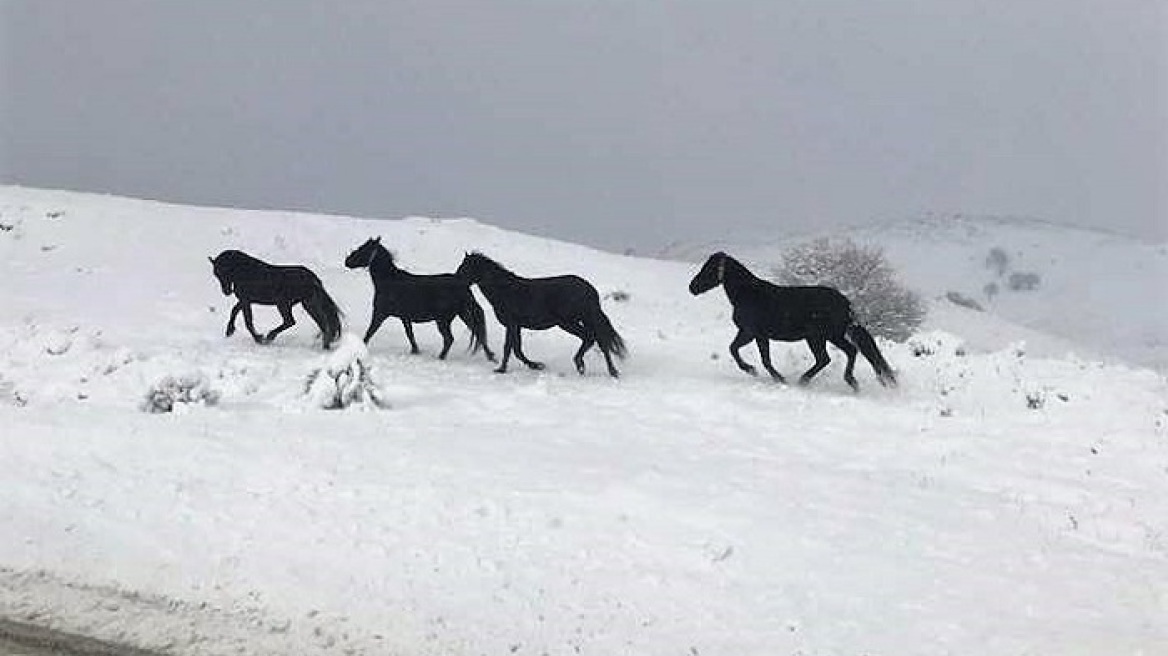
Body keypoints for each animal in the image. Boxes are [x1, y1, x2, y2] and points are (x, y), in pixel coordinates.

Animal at [210, 247, 341, 347]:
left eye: (225, 270)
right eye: (216, 274)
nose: (226, 291)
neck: (246, 272)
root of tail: (312, 278)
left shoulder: (245, 300)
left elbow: (248, 321)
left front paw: (259, 338)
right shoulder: (245, 300)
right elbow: (234, 311)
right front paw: (229, 330)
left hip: (284, 304)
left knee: (290, 321)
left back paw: (270, 336)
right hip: (307, 304)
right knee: (321, 323)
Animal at [343, 235, 495, 359]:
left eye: (364, 248)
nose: (347, 261)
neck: (390, 281)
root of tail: (463, 284)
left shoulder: (380, 313)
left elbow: (369, 332)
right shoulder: (404, 317)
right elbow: (410, 334)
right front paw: (415, 351)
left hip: (443, 320)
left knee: (449, 339)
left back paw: (441, 358)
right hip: (462, 315)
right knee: (477, 333)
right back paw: (491, 356)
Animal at [453, 249, 626, 375]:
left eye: (465, 268)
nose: (455, 281)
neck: (505, 290)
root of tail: (590, 290)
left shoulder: (511, 324)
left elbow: (509, 348)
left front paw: (501, 369)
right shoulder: (517, 326)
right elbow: (517, 349)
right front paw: (536, 365)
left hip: (568, 322)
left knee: (591, 338)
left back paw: (585, 365)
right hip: (582, 320)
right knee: (598, 340)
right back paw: (607, 370)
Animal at [686, 249, 897, 387]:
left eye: (708, 269)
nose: (692, 287)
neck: (749, 294)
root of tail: (845, 302)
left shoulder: (749, 332)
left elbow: (736, 350)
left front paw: (757, 371)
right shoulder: (759, 335)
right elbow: (763, 358)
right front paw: (776, 377)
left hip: (821, 337)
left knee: (835, 356)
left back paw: (816, 380)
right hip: (826, 337)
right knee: (841, 354)